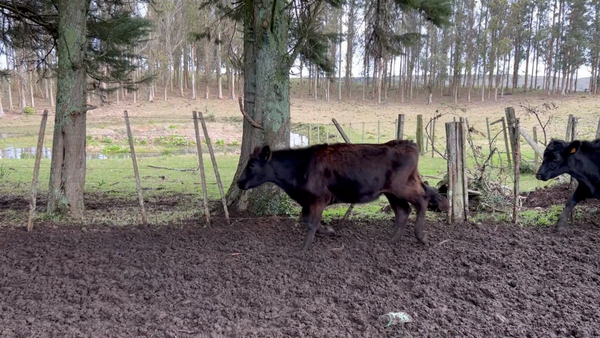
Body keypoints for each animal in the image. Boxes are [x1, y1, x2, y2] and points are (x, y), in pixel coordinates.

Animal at [237, 140, 448, 251]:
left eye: (252, 165)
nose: (239, 182)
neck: (300, 167)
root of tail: (407, 143)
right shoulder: (308, 201)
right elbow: (306, 219)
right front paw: (329, 231)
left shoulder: (319, 198)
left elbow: (311, 222)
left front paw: (305, 247)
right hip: (391, 192)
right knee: (403, 212)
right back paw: (392, 241)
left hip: (401, 187)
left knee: (422, 200)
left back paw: (421, 236)